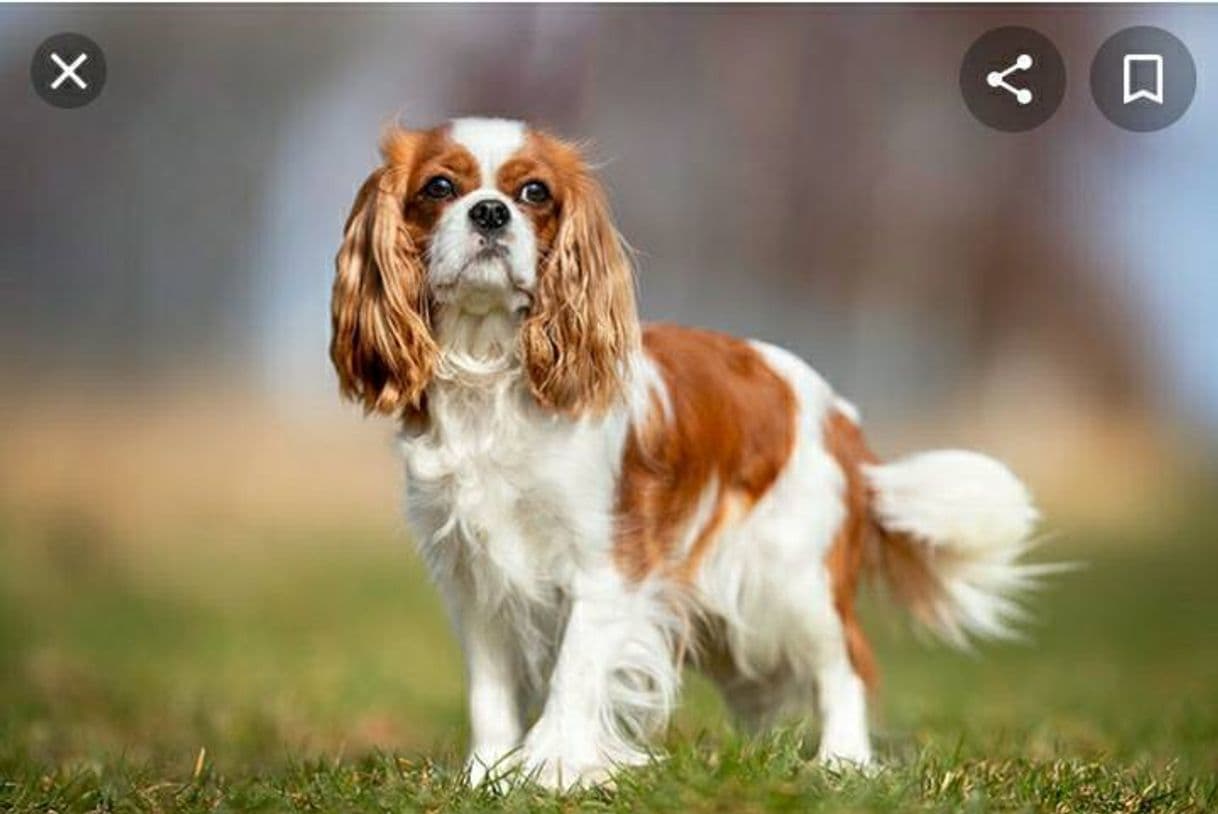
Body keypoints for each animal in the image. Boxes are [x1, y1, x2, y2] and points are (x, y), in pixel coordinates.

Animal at [328, 115, 1042, 789]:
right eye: (439, 188)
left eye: (534, 193)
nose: (489, 212)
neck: (491, 372)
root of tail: (837, 411)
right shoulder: (474, 576)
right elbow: (490, 692)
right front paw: (487, 774)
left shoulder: (607, 562)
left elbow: (573, 673)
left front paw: (553, 769)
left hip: (792, 580)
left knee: (844, 665)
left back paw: (842, 763)